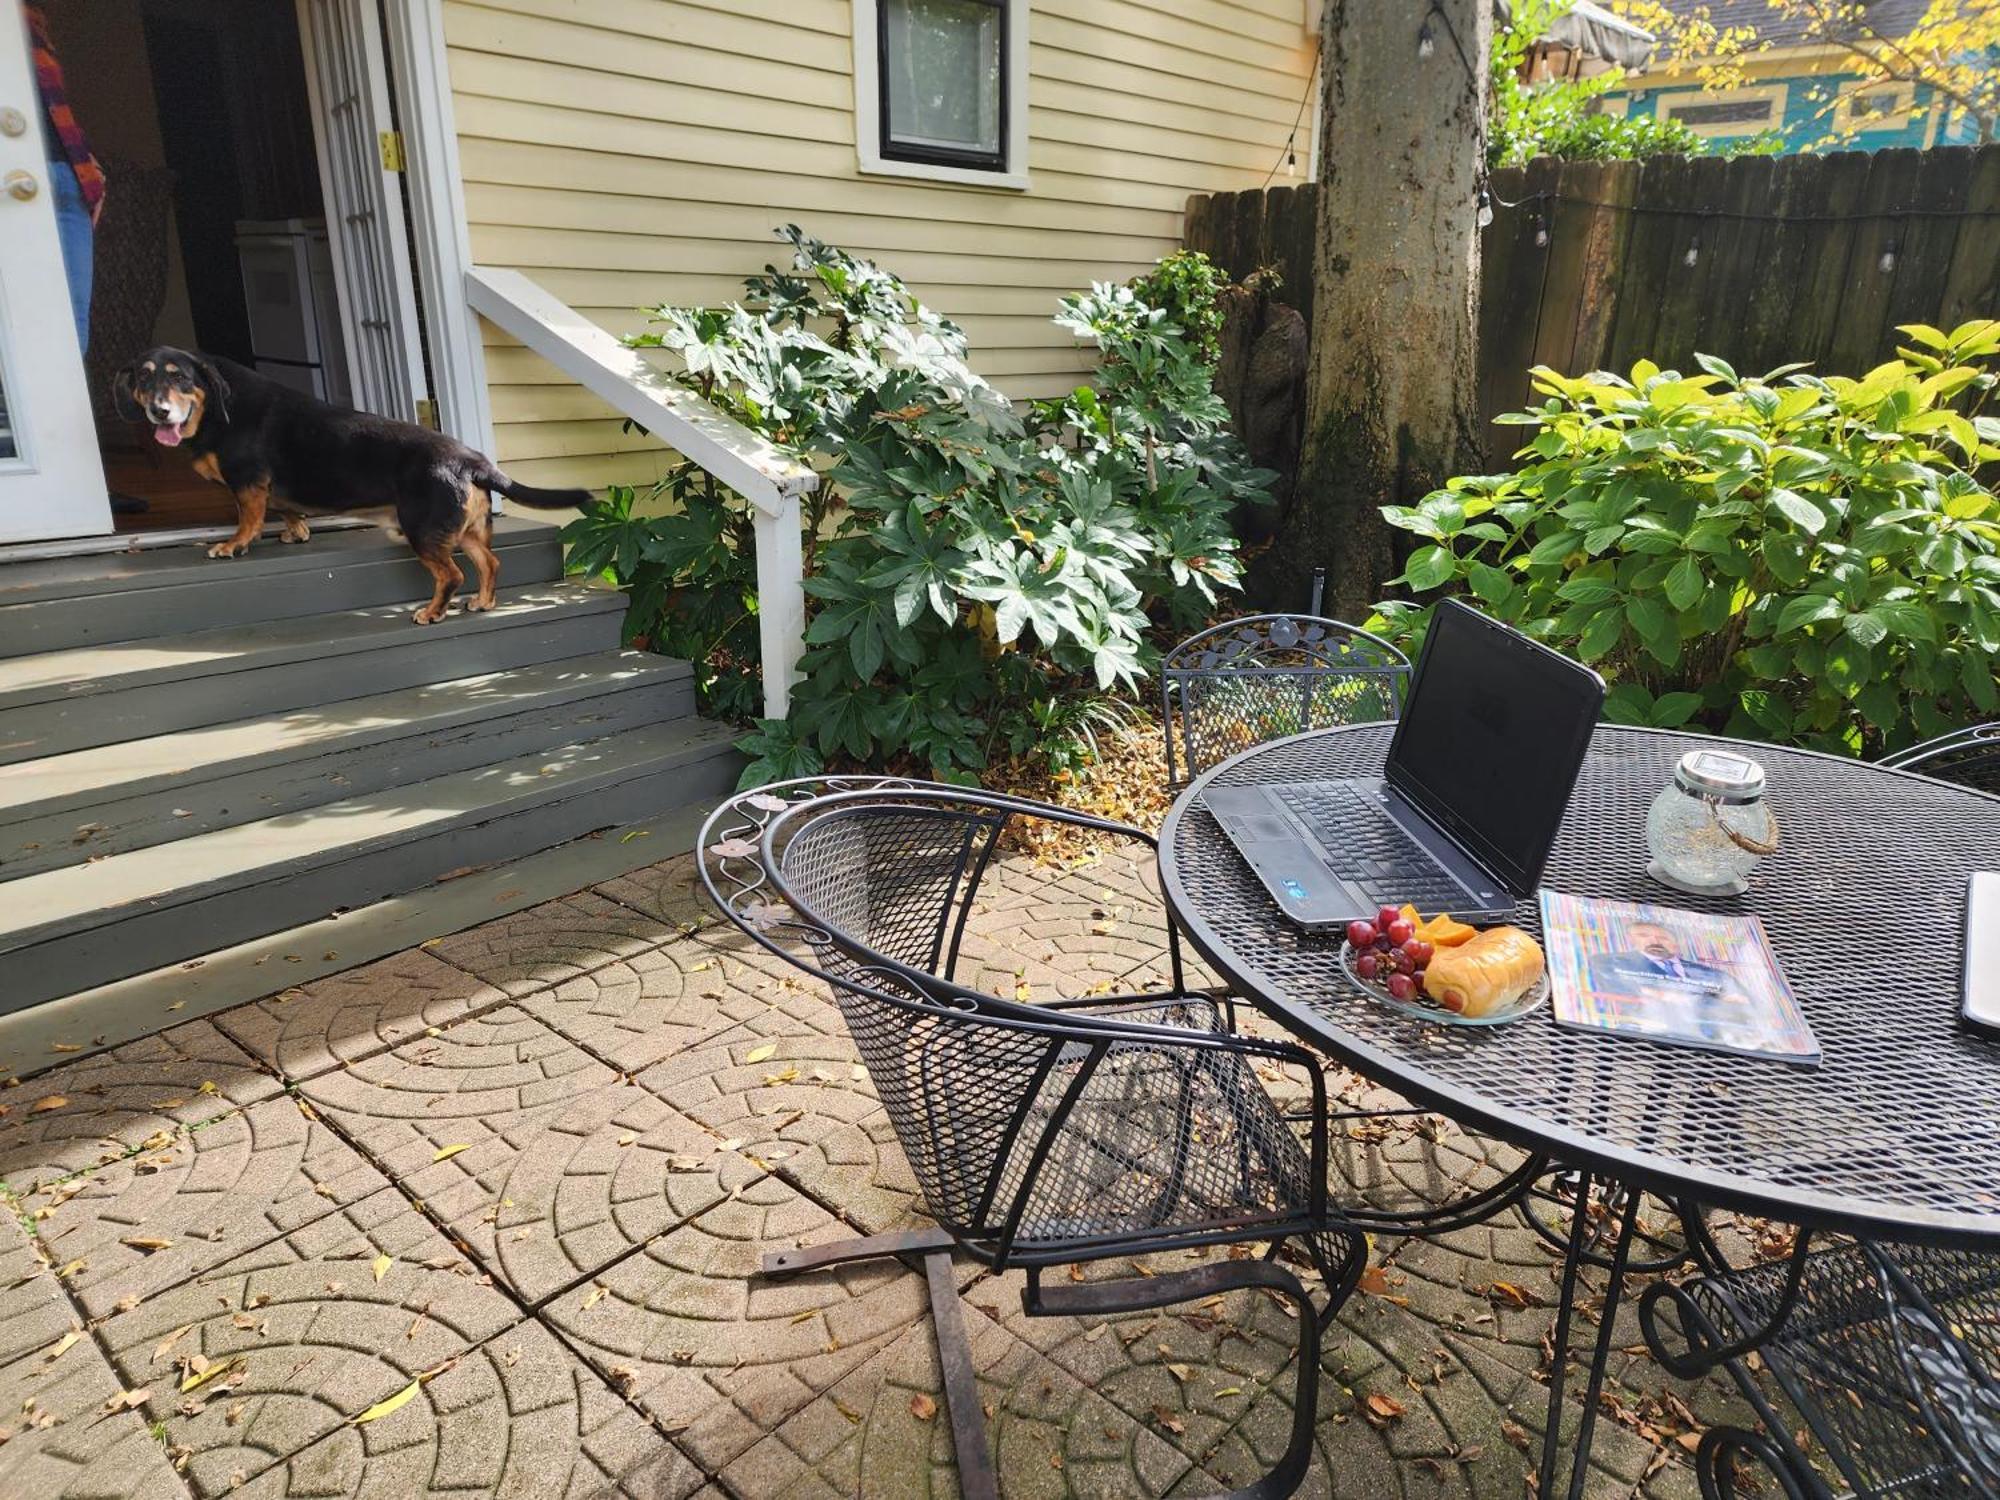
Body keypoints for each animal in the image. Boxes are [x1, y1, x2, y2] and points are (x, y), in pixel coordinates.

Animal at [113, 350, 588, 624]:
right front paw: (295, 532)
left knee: (452, 575)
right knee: (489, 563)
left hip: (422, 530)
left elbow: (248, 517)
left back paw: (432, 613)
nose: (158, 411)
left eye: (180, 378)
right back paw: (483, 602)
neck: (217, 405)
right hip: (465, 530)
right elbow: (284, 508)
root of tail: (471, 460)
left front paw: (234, 544)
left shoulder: (247, 481)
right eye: (143, 378)